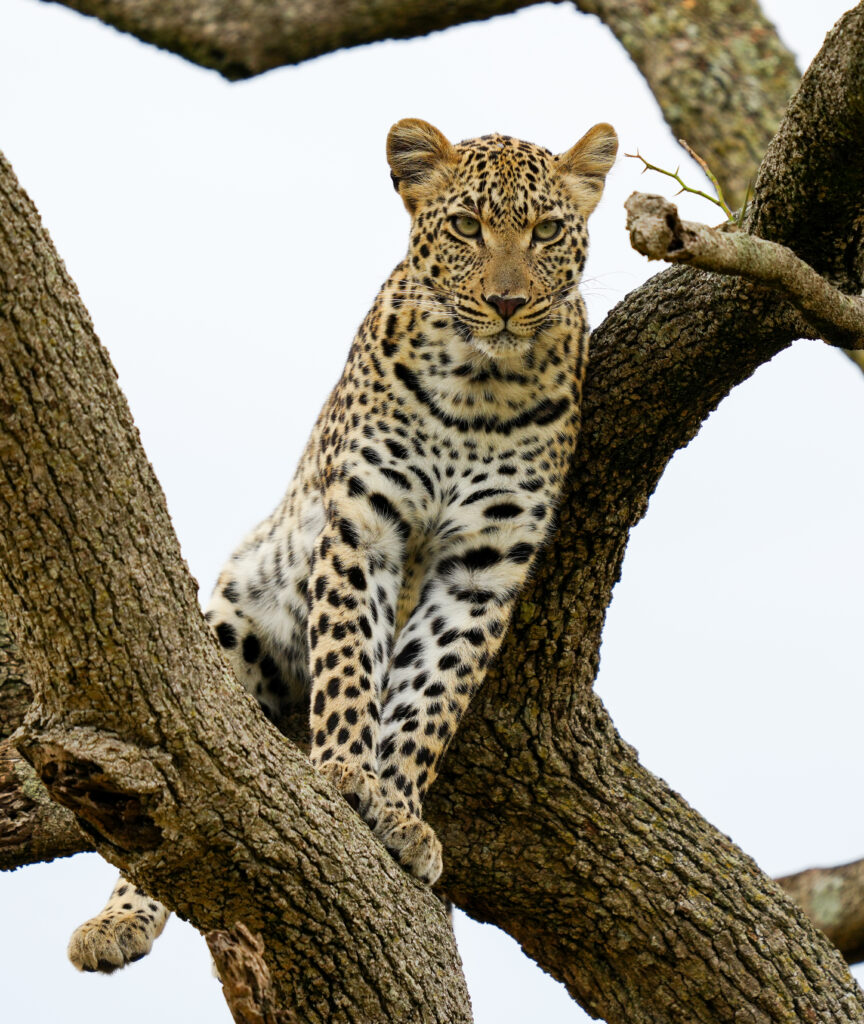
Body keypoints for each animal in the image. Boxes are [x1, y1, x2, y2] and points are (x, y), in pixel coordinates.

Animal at [67, 117, 618, 972]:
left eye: (547, 232)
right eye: (468, 227)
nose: (506, 302)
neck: (483, 390)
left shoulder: (484, 563)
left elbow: (430, 693)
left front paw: (398, 809)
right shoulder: (365, 525)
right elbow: (350, 664)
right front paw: (345, 775)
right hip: (230, 628)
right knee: (167, 827)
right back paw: (117, 919)